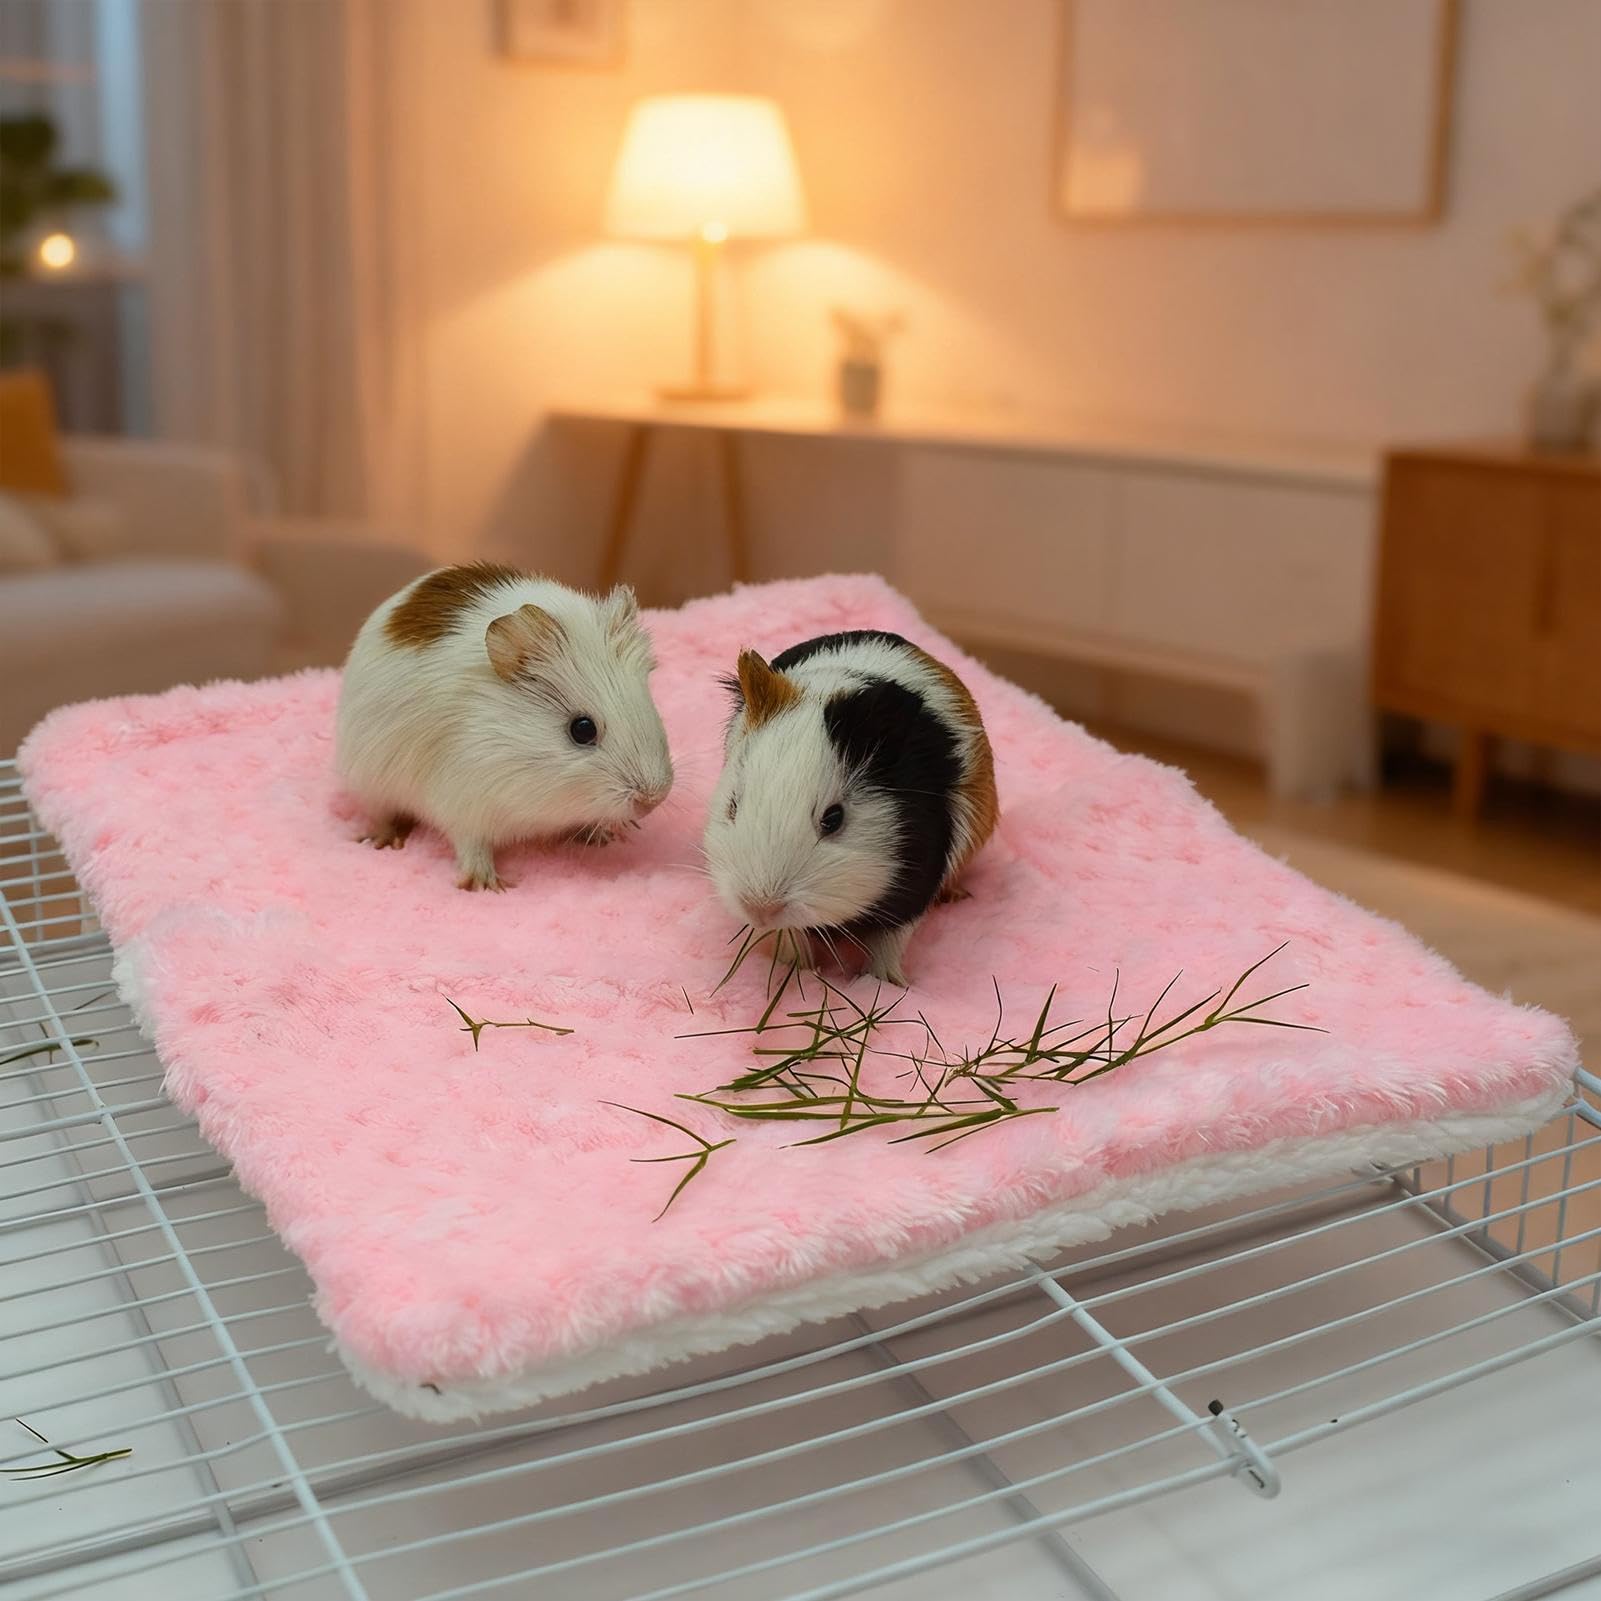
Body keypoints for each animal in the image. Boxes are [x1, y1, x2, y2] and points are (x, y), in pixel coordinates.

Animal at [336, 562, 673, 890]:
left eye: (652, 708)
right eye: (582, 729)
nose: (652, 800)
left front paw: (610, 835)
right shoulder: (462, 808)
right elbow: (473, 848)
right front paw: (488, 885)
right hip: (371, 786)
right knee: (381, 815)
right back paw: (382, 841)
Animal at [703, 629, 998, 985]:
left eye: (834, 818)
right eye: (733, 806)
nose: (760, 908)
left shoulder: (913, 891)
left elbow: (889, 943)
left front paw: (887, 983)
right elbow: (791, 938)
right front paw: (799, 971)